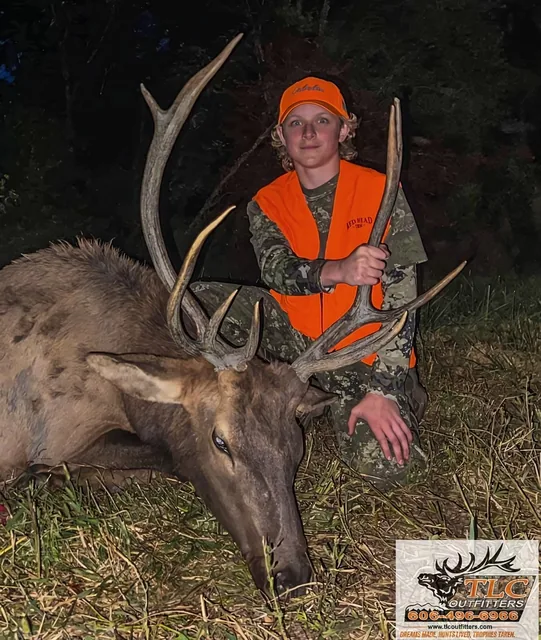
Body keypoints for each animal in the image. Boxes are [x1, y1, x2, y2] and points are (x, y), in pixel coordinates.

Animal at [0, 33, 464, 596]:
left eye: (295, 447)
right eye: (219, 440)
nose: (290, 574)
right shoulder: (60, 431)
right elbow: (158, 459)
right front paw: (38, 477)